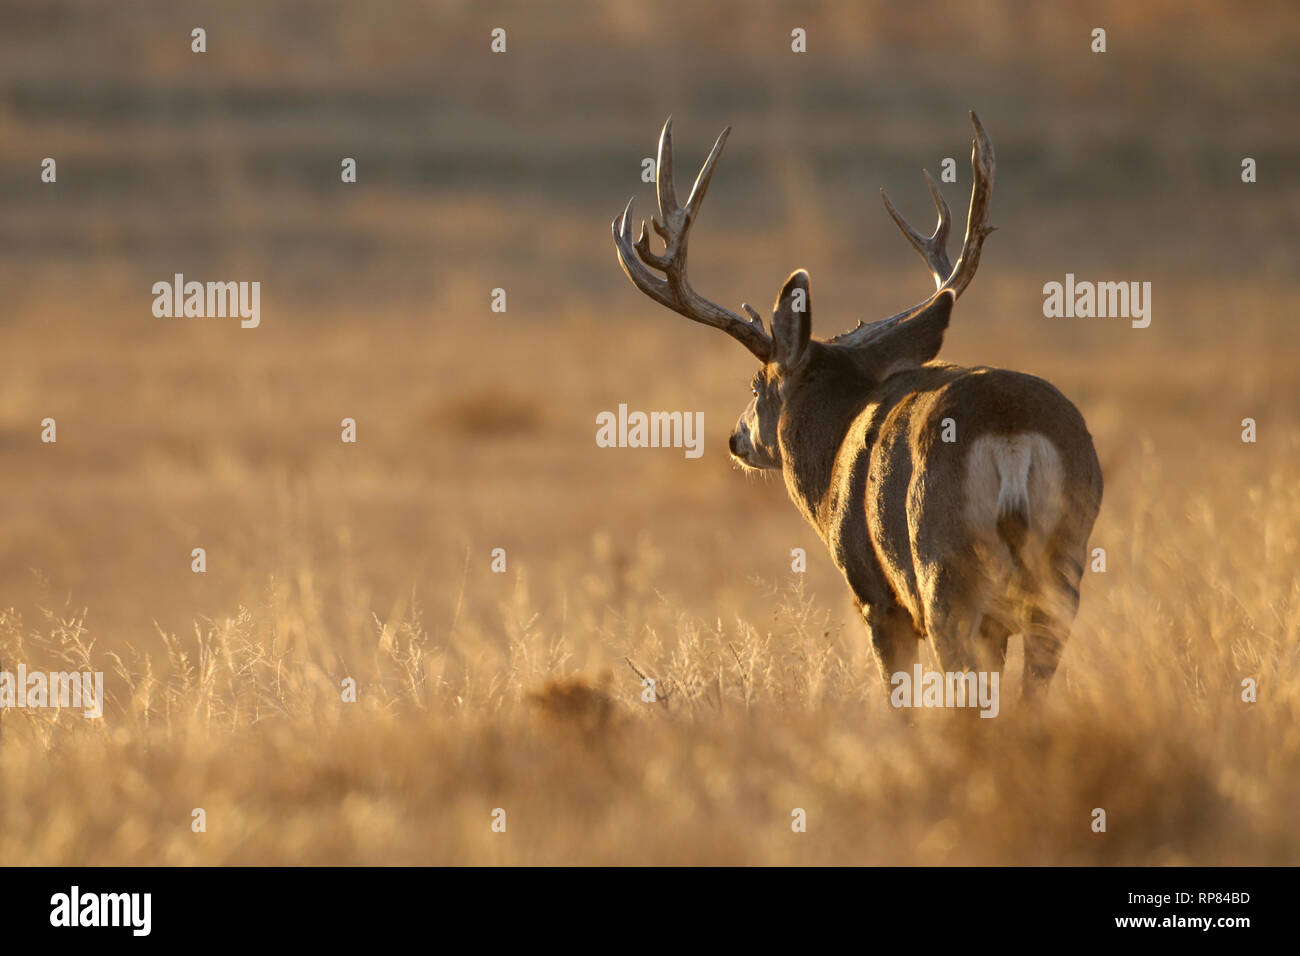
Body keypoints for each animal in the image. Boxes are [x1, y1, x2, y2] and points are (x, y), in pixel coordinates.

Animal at [613, 115, 1102, 702]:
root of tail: (1011, 435)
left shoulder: (873, 591)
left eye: (755, 385)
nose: (735, 439)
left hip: (940, 568)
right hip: (1064, 568)